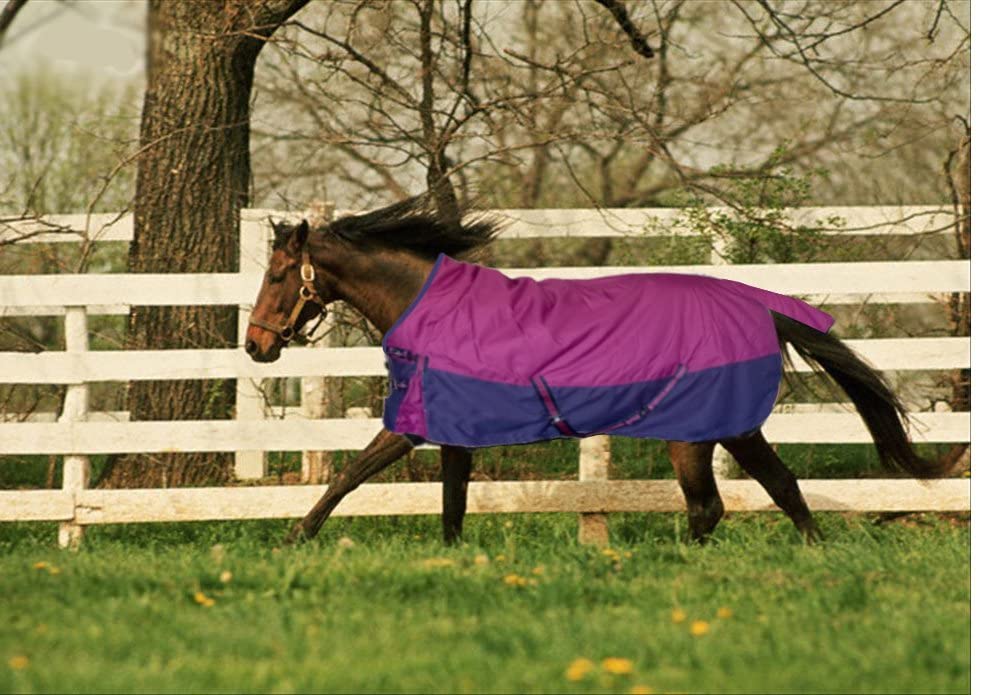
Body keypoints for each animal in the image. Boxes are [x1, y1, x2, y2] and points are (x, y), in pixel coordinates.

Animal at [244, 198, 946, 546]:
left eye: (277, 275)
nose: (256, 346)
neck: (436, 312)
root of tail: (758, 308)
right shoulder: (453, 435)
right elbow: (450, 505)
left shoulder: (414, 426)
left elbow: (350, 477)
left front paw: (294, 539)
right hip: (732, 432)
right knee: (780, 489)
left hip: (696, 434)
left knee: (713, 505)